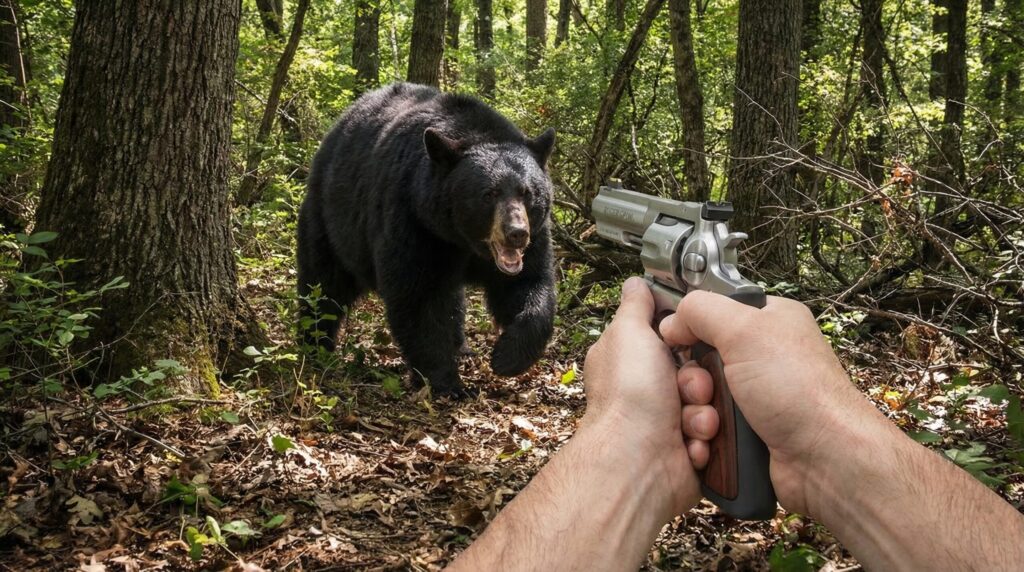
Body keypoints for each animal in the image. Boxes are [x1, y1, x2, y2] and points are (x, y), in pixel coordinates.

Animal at [297, 83, 557, 398]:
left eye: (527, 192)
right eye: (489, 194)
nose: (516, 232)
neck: (462, 239)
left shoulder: (534, 238)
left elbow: (528, 285)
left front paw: (507, 356)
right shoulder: (415, 222)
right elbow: (420, 297)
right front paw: (446, 382)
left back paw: (463, 347)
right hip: (331, 220)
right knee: (322, 284)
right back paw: (315, 344)